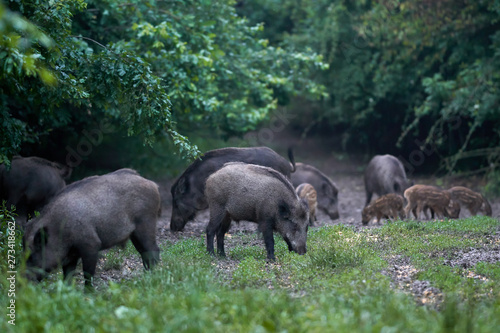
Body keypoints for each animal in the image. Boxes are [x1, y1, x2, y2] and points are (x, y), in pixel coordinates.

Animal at [23, 169, 160, 286]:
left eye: (32, 256)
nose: (23, 281)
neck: (59, 228)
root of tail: (153, 184)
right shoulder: (71, 256)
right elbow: (68, 275)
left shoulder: (91, 245)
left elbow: (88, 274)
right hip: (135, 234)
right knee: (145, 253)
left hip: (146, 224)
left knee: (154, 250)